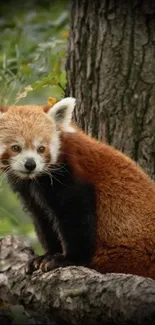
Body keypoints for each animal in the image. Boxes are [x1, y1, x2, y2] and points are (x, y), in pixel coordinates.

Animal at [0, 97, 155, 278]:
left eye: (41, 148)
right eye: (16, 148)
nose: (30, 164)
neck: (35, 179)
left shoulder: (71, 175)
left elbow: (76, 217)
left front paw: (67, 259)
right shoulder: (30, 193)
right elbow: (43, 219)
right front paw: (45, 256)